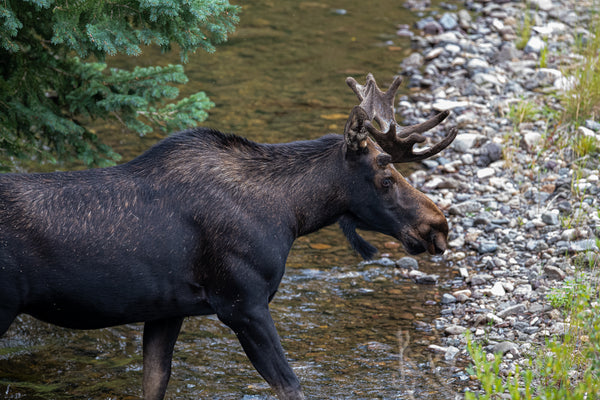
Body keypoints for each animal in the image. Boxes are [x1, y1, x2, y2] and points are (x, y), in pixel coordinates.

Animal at [0, 74, 458, 396]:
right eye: (385, 176)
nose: (439, 227)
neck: (291, 215)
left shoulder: (167, 310)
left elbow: (155, 381)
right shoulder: (243, 304)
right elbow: (291, 385)